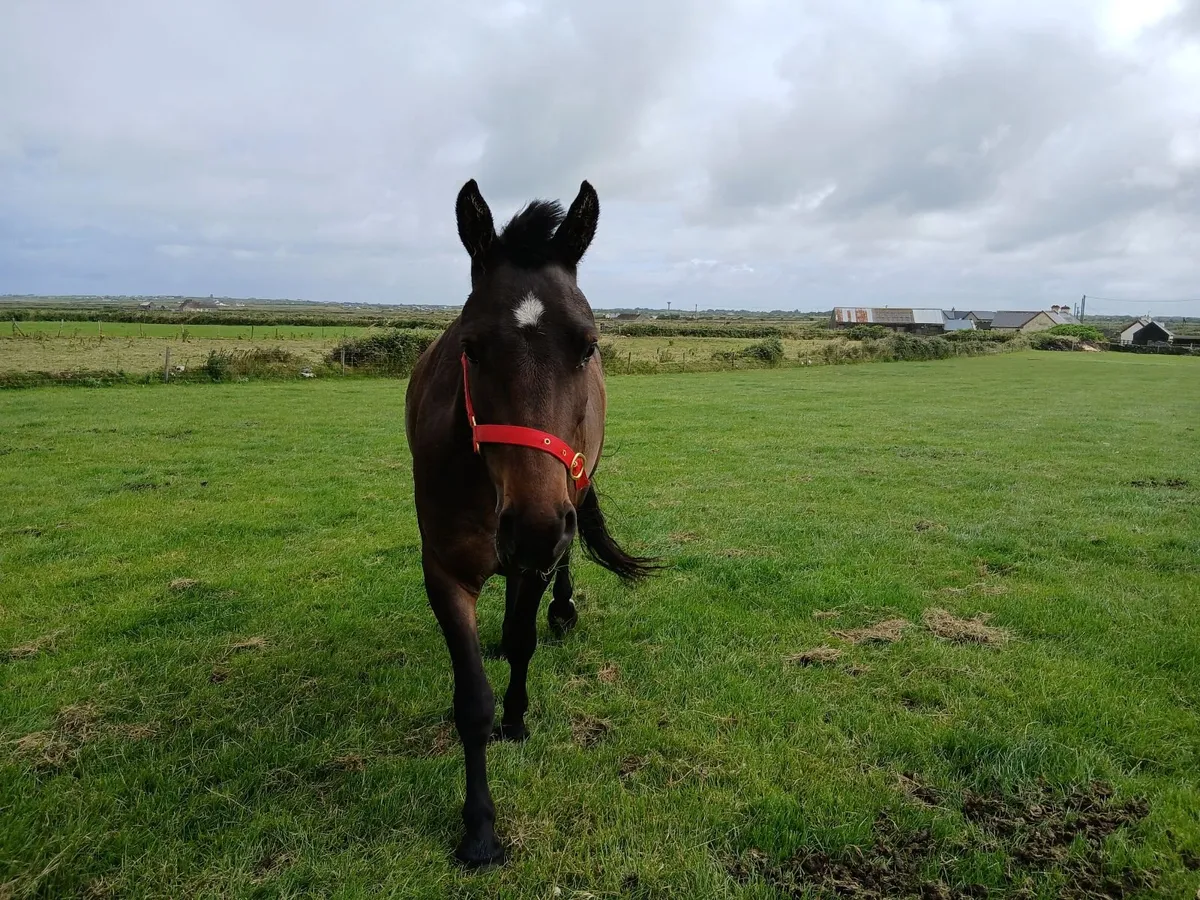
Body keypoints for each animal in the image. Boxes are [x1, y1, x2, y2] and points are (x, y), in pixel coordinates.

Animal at [404, 178, 657, 867]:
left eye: (587, 345)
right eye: (470, 347)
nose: (534, 526)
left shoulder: (538, 548)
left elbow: (522, 641)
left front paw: (516, 719)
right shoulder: (445, 572)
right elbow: (472, 700)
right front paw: (479, 829)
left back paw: (564, 612)